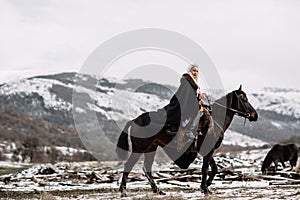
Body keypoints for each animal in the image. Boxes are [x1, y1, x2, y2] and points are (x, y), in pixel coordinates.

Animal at [116, 85, 256, 196]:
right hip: (139, 148)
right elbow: (205, 168)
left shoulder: (208, 151)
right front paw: (204, 189)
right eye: (243, 98)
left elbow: (215, 169)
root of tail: (134, 120)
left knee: (147, 168)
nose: (255, 115)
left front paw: (206, 186)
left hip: (151, 148)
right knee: (129, 165)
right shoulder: (208, 150)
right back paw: (123, 191)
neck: (215, 121)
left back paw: (158, 190)